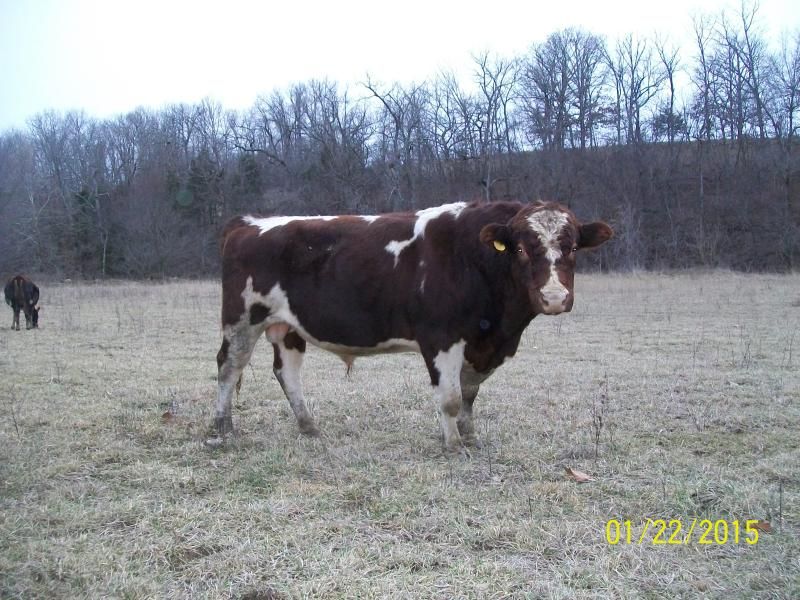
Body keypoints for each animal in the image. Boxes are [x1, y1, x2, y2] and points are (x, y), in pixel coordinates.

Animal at [214, 201, 612, 452]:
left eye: (573, 248)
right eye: (521, 249)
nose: (555, 298)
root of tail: (248, 224)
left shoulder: (480, 343)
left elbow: (469, 394)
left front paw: (469, 436)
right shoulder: (440, 336)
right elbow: (450, 398)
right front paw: (453, 445)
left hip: (288, 327)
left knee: (287, 372)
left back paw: (309, 427)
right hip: (242, 319)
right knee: (228, 367)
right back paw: (221, 431)